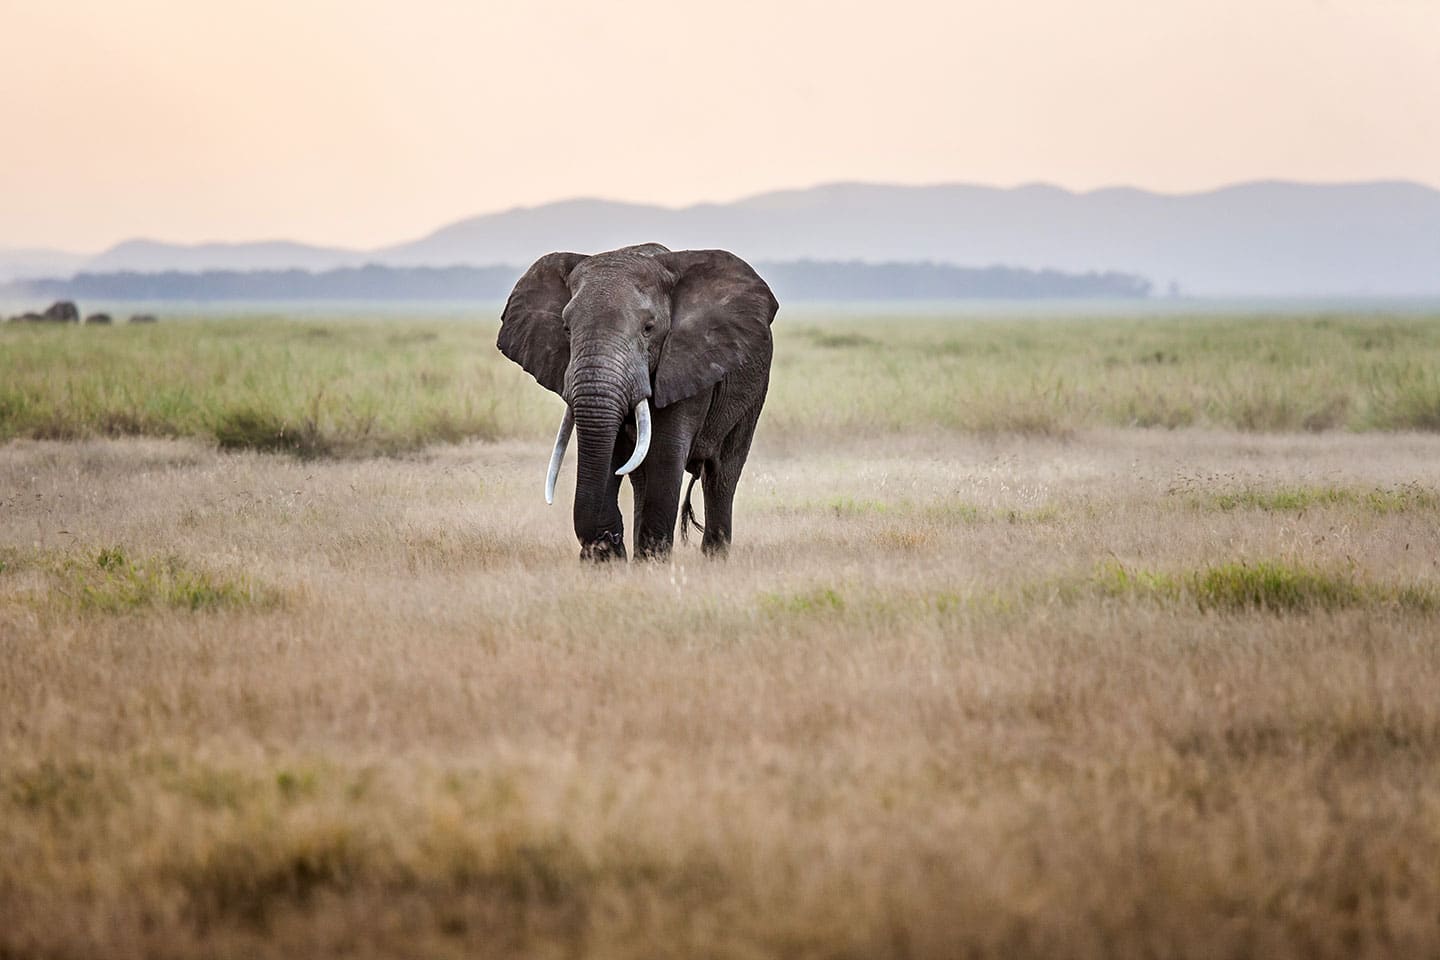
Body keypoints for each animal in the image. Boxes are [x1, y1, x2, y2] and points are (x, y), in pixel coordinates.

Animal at [498, 243, 778, 561]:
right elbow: (610, 456)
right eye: (566, 329)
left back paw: (713, 560)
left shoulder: (686, 363)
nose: (608, 538)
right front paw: (608, 562)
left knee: (721, 474)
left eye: (648, 328)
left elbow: (665, 455)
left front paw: (653, 565)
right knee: (642, 478)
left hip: (753, 392)